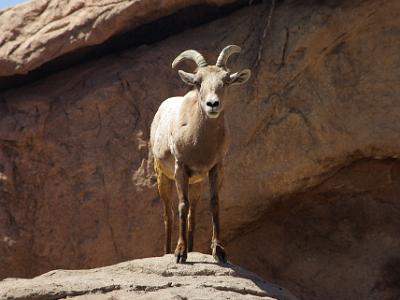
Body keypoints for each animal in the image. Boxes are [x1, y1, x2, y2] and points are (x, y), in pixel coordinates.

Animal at [150, 44, 250, 262]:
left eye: (226, 80)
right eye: (197, 82)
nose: (212, 104)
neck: (200, 144)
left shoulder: (215, 169)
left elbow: (214, 203)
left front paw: (218, 251)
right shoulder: (180, 169)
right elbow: (181, 205)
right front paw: (180, 254)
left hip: (195, 183)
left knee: (192, 215)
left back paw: (192, 248)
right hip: (163, 177)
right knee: (168, 214)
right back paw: (168, 252)